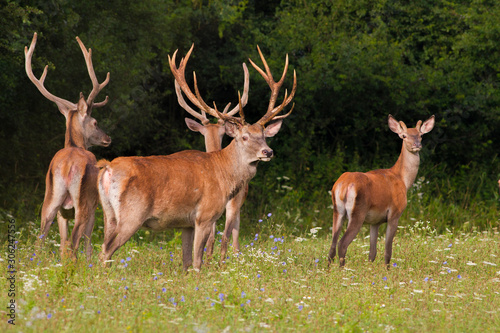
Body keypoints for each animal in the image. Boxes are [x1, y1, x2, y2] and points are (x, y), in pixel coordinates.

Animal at [25, 32, 111, 258]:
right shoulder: (95, 205)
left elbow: (62, 242)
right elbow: (87, 243)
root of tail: (66, 166)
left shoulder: (63, 212)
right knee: (75, 241)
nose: (108, 138)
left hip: (50, 199)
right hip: (83, 202)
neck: (75, 145)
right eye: (95, 122)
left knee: (42, 239)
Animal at [95, 44, 294, 270]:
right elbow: (198, 262)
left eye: (264, 136)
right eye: (244, 136)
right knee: (106, 251)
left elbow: (187, 262)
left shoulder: (186, 224)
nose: (268, 152)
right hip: (132, 213)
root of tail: (107, 168)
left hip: (108, 214)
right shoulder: (205, 215)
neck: (224, 173)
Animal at [328, 114, 434, 268]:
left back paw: (328, 270)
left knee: (332, 244)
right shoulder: (395, 213)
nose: (416, 145)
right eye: (404, 136)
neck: (402, 180)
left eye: (420, 135)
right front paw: (387, 269)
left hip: (337, 211)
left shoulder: (375, 221)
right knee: (342, 243)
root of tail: (344, 186)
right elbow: (387, 250)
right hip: (358, 212)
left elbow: (372, 253)